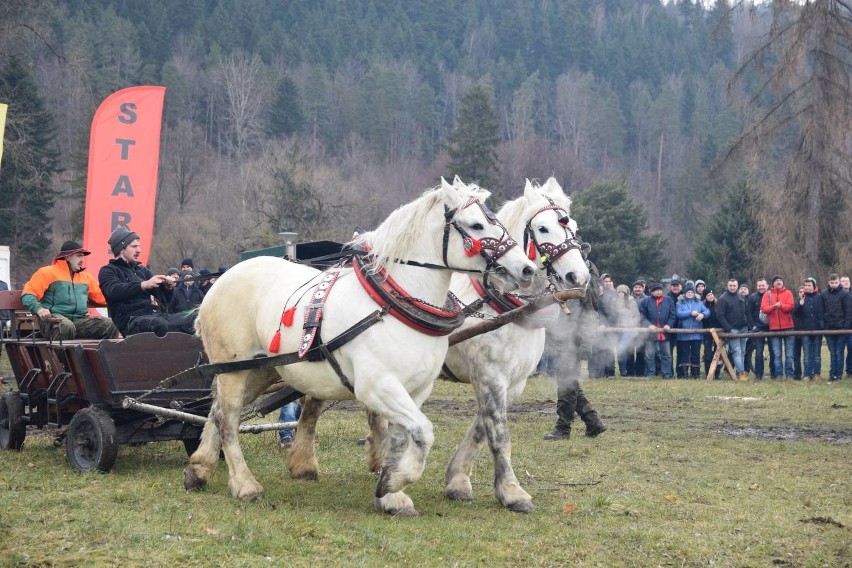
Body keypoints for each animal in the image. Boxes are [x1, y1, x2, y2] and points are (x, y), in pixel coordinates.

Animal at [183, 178, 536, 516]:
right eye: (476, 225)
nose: (527, 269)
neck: (392, 304)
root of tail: (223, 278)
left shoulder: (415, 389)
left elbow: (401, 437)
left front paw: (391, 493)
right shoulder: (377, 386)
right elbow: (424, 431)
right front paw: (395, 481)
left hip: (259, 370)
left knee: (217, 411)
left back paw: (198, 470)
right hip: (233, 368)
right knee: (228, 418)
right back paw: (244, 484)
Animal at [360, 176, 592, 510]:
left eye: (572, 225)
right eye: (544, 228)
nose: (579, 276)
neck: (501, 305)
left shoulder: (511, 382)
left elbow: (483, 428)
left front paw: (457, 480)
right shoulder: (490, 375)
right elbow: (499, 434)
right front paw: (512, 492)